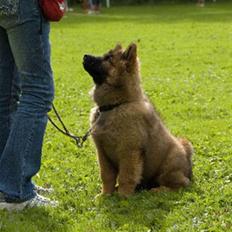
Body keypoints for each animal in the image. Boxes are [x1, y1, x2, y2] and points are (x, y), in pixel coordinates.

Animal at [82, 42, 193, 197]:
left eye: (108, 58)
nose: (85, 56)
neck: (115, 106)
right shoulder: (102, 154)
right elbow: (106, 176)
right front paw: (105, 195)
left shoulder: (129, 152)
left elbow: (126, 176)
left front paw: (123, 196)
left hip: (167, 168)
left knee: (181, 184)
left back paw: (158, 190)